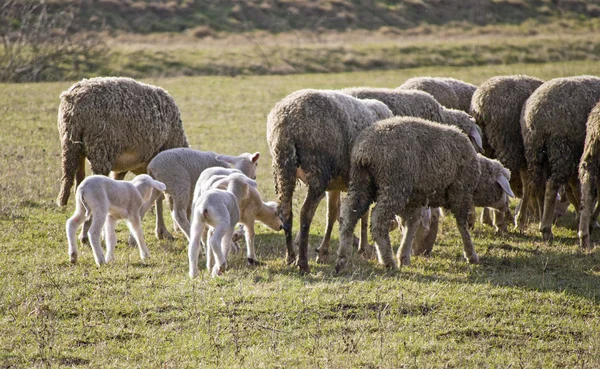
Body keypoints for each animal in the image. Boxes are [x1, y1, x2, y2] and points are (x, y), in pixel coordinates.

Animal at [268, 88, 394, 274]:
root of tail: (287, 122)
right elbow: (362, 214)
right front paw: (364, 248)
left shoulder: (334, 185)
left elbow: (332, 214)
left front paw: (323, 252)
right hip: (317, 170)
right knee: (305, 213)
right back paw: (302, 262)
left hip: (283, 167)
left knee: (286, 211)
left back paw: (290, 256)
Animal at [336, 116, 480, 272]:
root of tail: (365, 151)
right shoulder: (461, 191)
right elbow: (462, 224)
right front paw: (471, 255)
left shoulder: (414, 199)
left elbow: (412, 223)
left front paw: (404, 256)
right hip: (394, 184)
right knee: (378, 220)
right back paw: (388, 261)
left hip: (361, 182)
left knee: (349, 214)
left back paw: (343, 256)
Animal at [472, 75, 548, 230]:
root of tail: (481, 102)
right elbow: (530, 186)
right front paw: (521, 220)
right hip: (506, 142)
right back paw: (501, 220)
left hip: (487, 144)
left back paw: (488, 218)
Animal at [520, 75, 600, 242]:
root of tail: (535, 114)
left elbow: (576, 189)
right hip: (561, 149)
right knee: (551, 185)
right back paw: (546, 229)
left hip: (536, 151)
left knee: (539, 186)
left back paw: (543, 221)